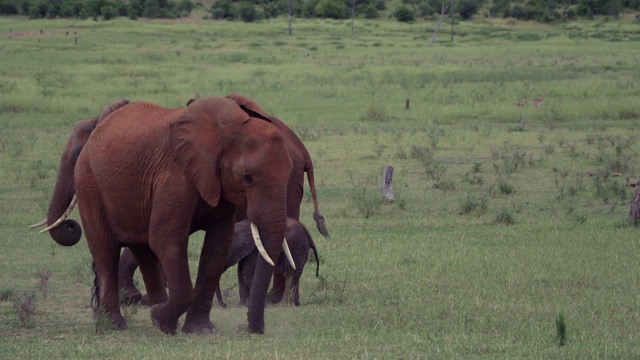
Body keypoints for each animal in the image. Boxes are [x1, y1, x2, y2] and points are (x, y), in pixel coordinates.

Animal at [34, 95, 292, 334]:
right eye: (247, 178)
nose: (249, 329)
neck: (221, 132)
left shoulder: (216, 182)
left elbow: (218, 245)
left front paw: (197, 330)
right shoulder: (176, 174)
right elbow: (166, 239)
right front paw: (161, 318)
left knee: (143, 251)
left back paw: (158, 317)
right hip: (89, 183)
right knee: (106, 251)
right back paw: (118, 326)